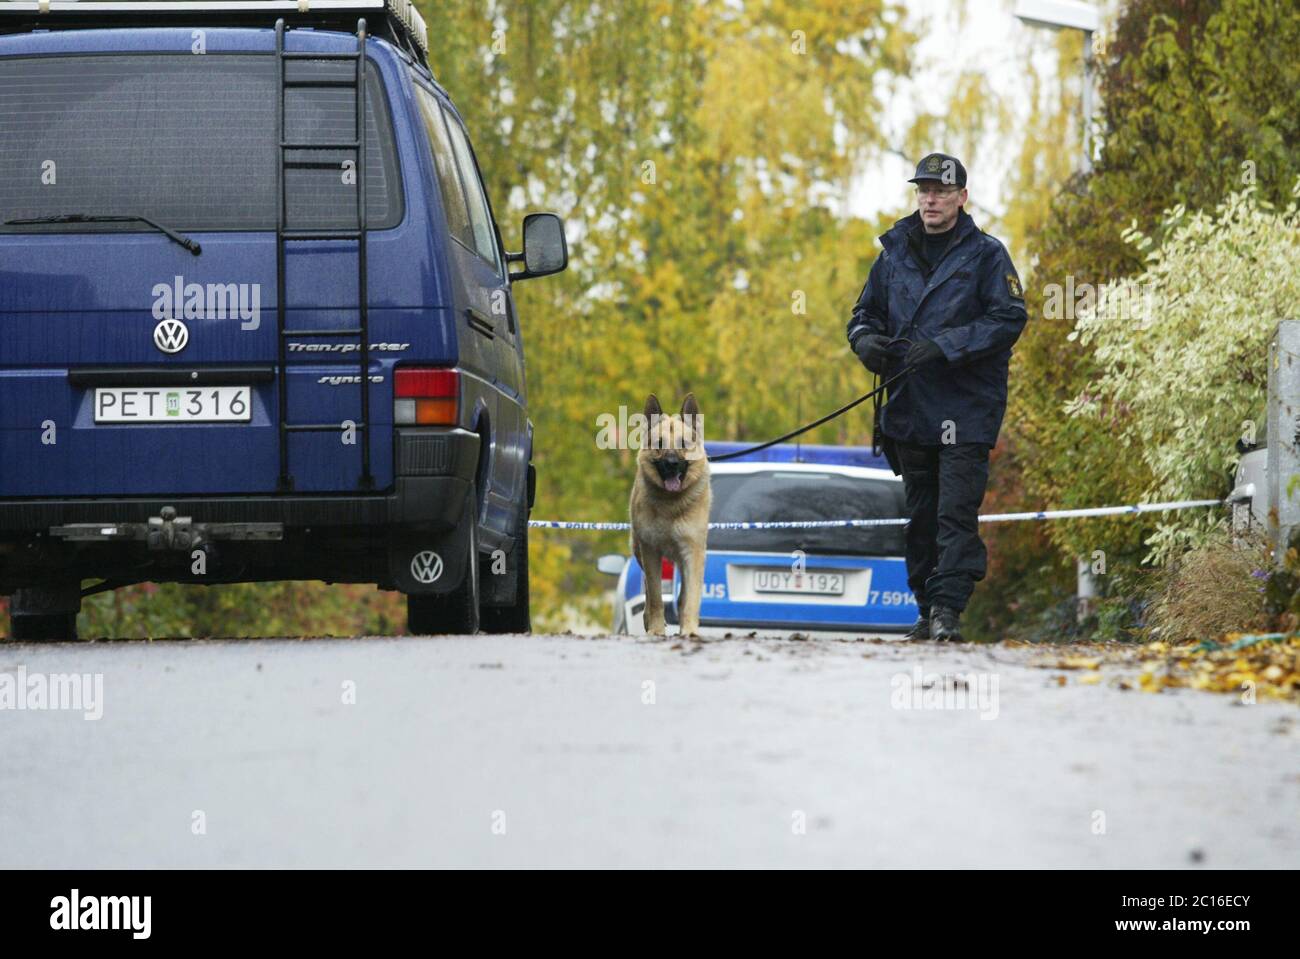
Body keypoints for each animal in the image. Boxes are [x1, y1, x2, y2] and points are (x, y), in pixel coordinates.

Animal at [629, 392, 712, 639]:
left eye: (684, 444)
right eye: (659, 445)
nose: (672, 464)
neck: (671, 506)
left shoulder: (693, 553)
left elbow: (691, 597)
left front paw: (690, 629)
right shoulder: (651, 552)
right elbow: (656, 596)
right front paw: (656, 629)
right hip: (639, 552)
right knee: (648, 592)